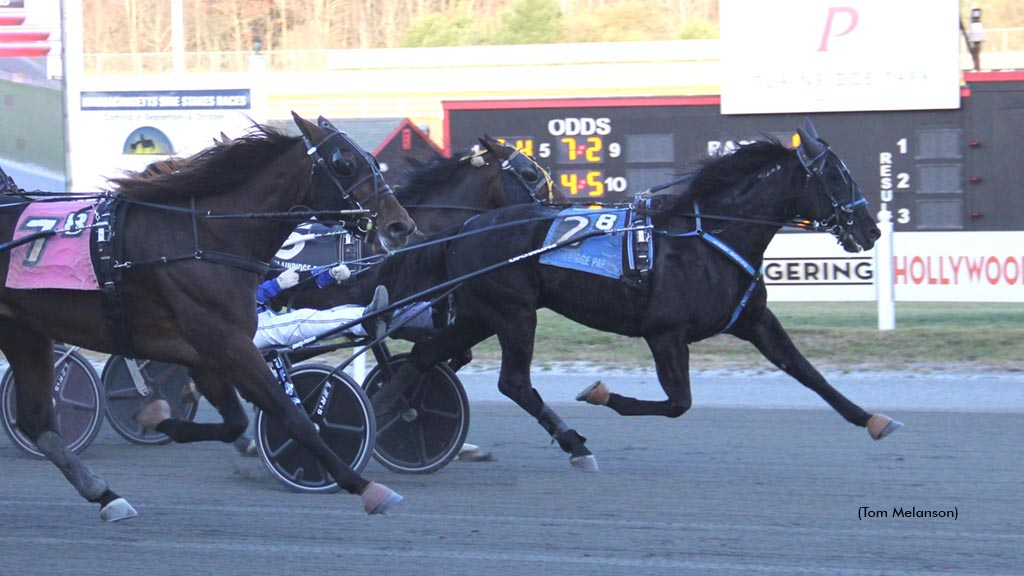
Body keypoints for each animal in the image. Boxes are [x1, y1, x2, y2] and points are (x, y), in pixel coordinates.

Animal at [1, 109, 415, 518]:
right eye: (343, 162)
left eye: (372, 159)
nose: (401, 224)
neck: (203, 239)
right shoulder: (226, 344)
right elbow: (293, 417)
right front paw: (365, 486)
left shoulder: (200, 352)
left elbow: (234, 422)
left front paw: (158, 417)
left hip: (24, 332)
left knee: (37, 421)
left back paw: (105, 494)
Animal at [372, 119, 901, 471]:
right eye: (834, 176)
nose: (870, 229)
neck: (708, 236)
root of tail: (465, 228)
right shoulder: (665, 333)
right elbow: (678, 402)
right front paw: (602, 393)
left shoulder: (754, 320)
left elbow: (808, 372)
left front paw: (872, 419)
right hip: (514, 314)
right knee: (512, 382)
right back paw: (573, 443)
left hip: (481, 314)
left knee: (425, 357)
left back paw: (388, 417)